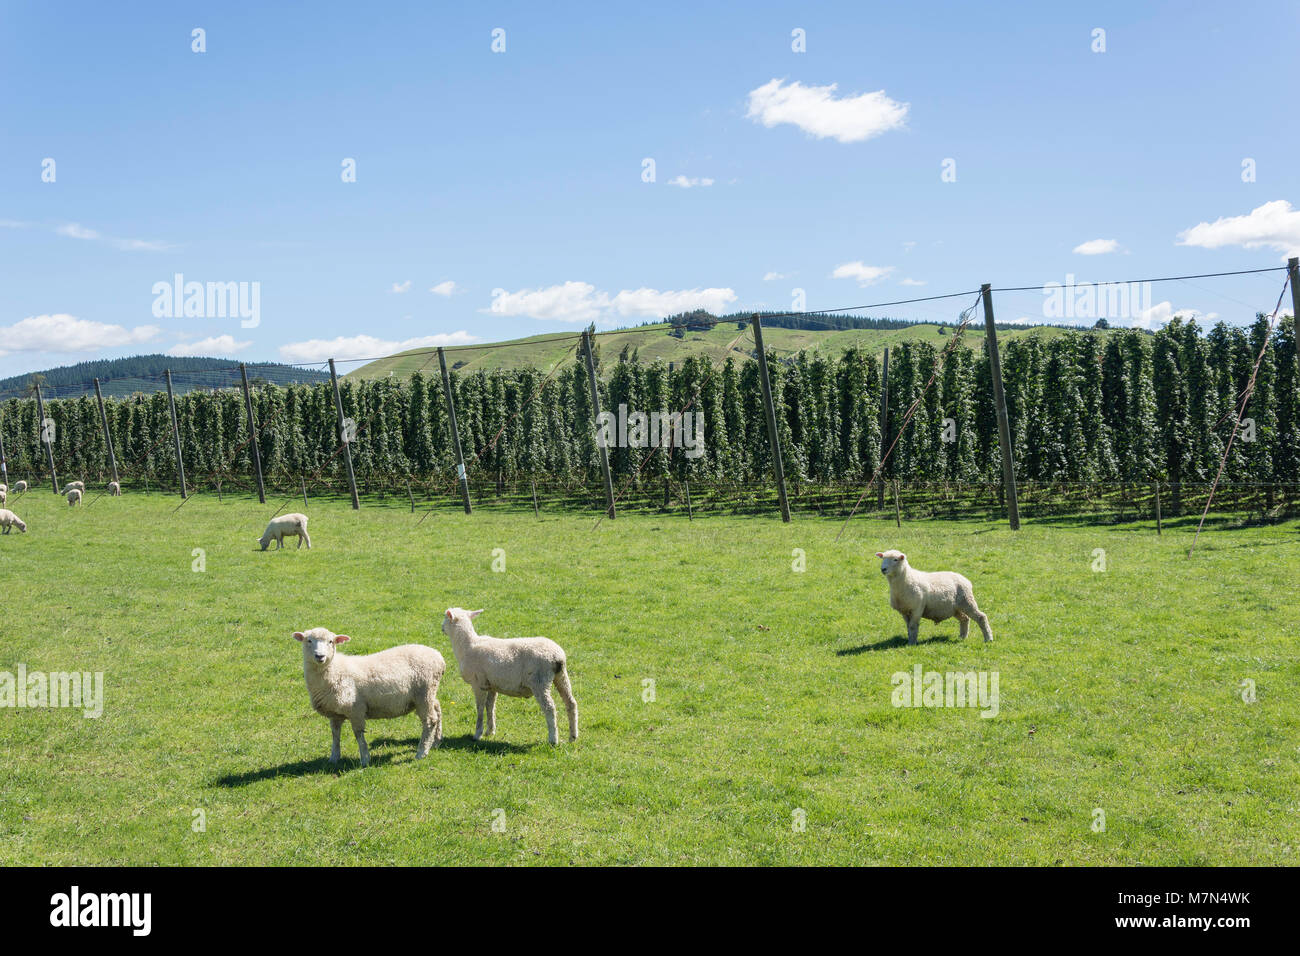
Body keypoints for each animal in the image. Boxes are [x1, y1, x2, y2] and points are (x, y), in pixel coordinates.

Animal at [293, 629, 444, 770]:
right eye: (309, 641)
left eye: (331, 641)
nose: (320, 656)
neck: (335, 670)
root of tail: (439, 657)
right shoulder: (335, 713)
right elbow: (335, 735)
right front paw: (334, 758)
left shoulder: (356, 709)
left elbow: (358, 734)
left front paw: (365, 759)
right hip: (428, 694)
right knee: (437, 709)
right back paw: (436, 742)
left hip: (424, 693)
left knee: (430, 721)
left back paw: (422, 752)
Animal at [439, 606, 577, 749]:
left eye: (445, 617)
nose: (441, 627)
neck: (466, 645)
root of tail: (557, 657)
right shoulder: (491, 685)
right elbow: (490, 707)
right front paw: (490, 731)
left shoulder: (478, 684)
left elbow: (480, 708)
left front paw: (477, 734)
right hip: (561, 677)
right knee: (571, 703)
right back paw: (572, 737)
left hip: (540, 682)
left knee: (550, 708)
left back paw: (553, 739)